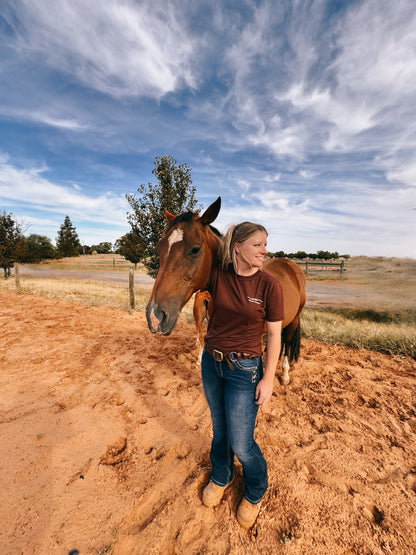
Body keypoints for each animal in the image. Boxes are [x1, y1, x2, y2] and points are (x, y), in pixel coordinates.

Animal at [145, 198, 306, 384]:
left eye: (195, 249)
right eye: (159, 247)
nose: (155, 315)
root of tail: (291, 265)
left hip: (294, 319)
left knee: (287, 342)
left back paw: (285, 374)